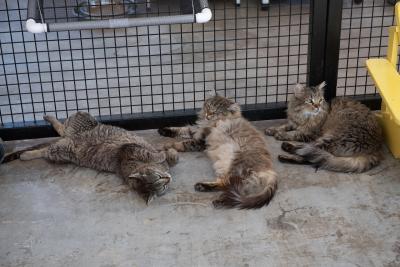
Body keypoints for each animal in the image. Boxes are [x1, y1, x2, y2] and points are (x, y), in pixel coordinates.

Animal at [3, 112, 178, 204]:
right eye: (159, 179)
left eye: (163, 186)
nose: (168, 179)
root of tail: (70, 138)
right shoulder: (128, 149)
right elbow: (153, 154)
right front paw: (164, 153)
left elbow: (171, 159)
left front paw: (171, 154)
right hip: (76, 126)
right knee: (57, 134)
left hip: (62, 150)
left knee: (55, 138)